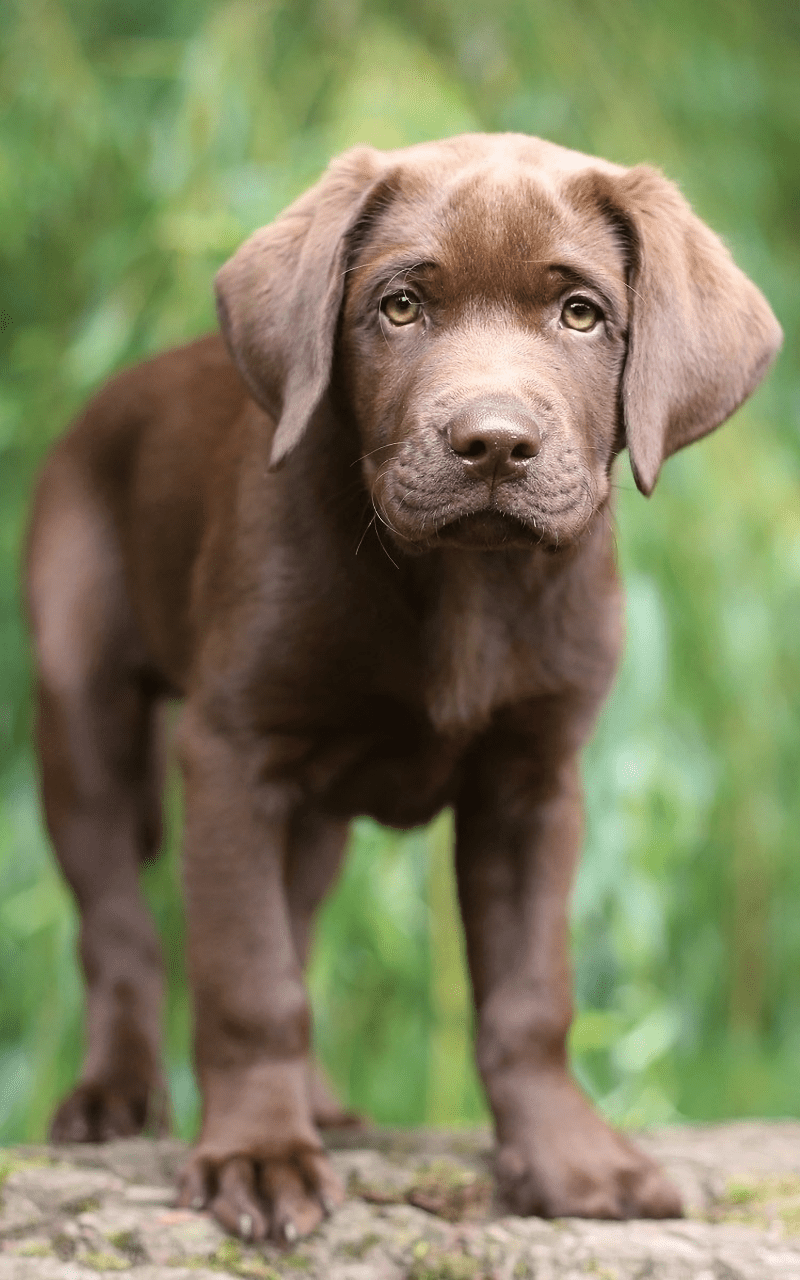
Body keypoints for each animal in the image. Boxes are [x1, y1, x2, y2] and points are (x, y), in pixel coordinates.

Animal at [26, 137, 778, 1239]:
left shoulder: (532, 782)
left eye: (580, 313)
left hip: (311, 815)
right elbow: (247, 976)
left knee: (292, 914)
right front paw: (257, 1153)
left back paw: (322, 1105)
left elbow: (527, 994)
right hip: (82, 708)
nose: (494, 441)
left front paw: (569, 1159)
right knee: (118, 923)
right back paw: (115, 1096)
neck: (464, 581)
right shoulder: (232, 751)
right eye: (400, 305)